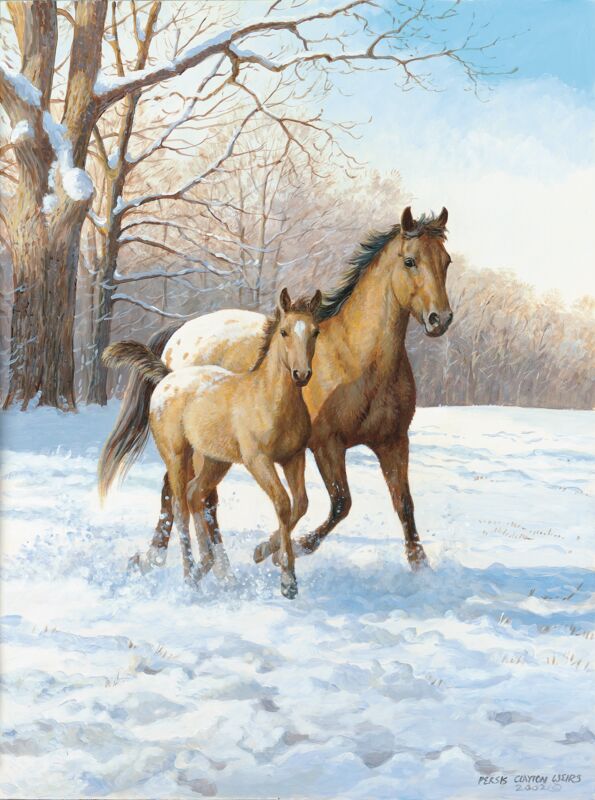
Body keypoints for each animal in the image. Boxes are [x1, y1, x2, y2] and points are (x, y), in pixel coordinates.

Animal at [103, 288, 322, 599]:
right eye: (284, 332)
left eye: (315, 331)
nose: (301, 375)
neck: (268, 400)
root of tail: (168, 376)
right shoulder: (258, 461)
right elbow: (282, 502)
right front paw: (287, 579)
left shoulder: (295, 457)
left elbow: (300, 504)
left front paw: (269, 555)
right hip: (178, 455)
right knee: (180, 505)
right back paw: (189, 576)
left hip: (216, 461)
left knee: (196, 495)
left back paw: (202, 568)